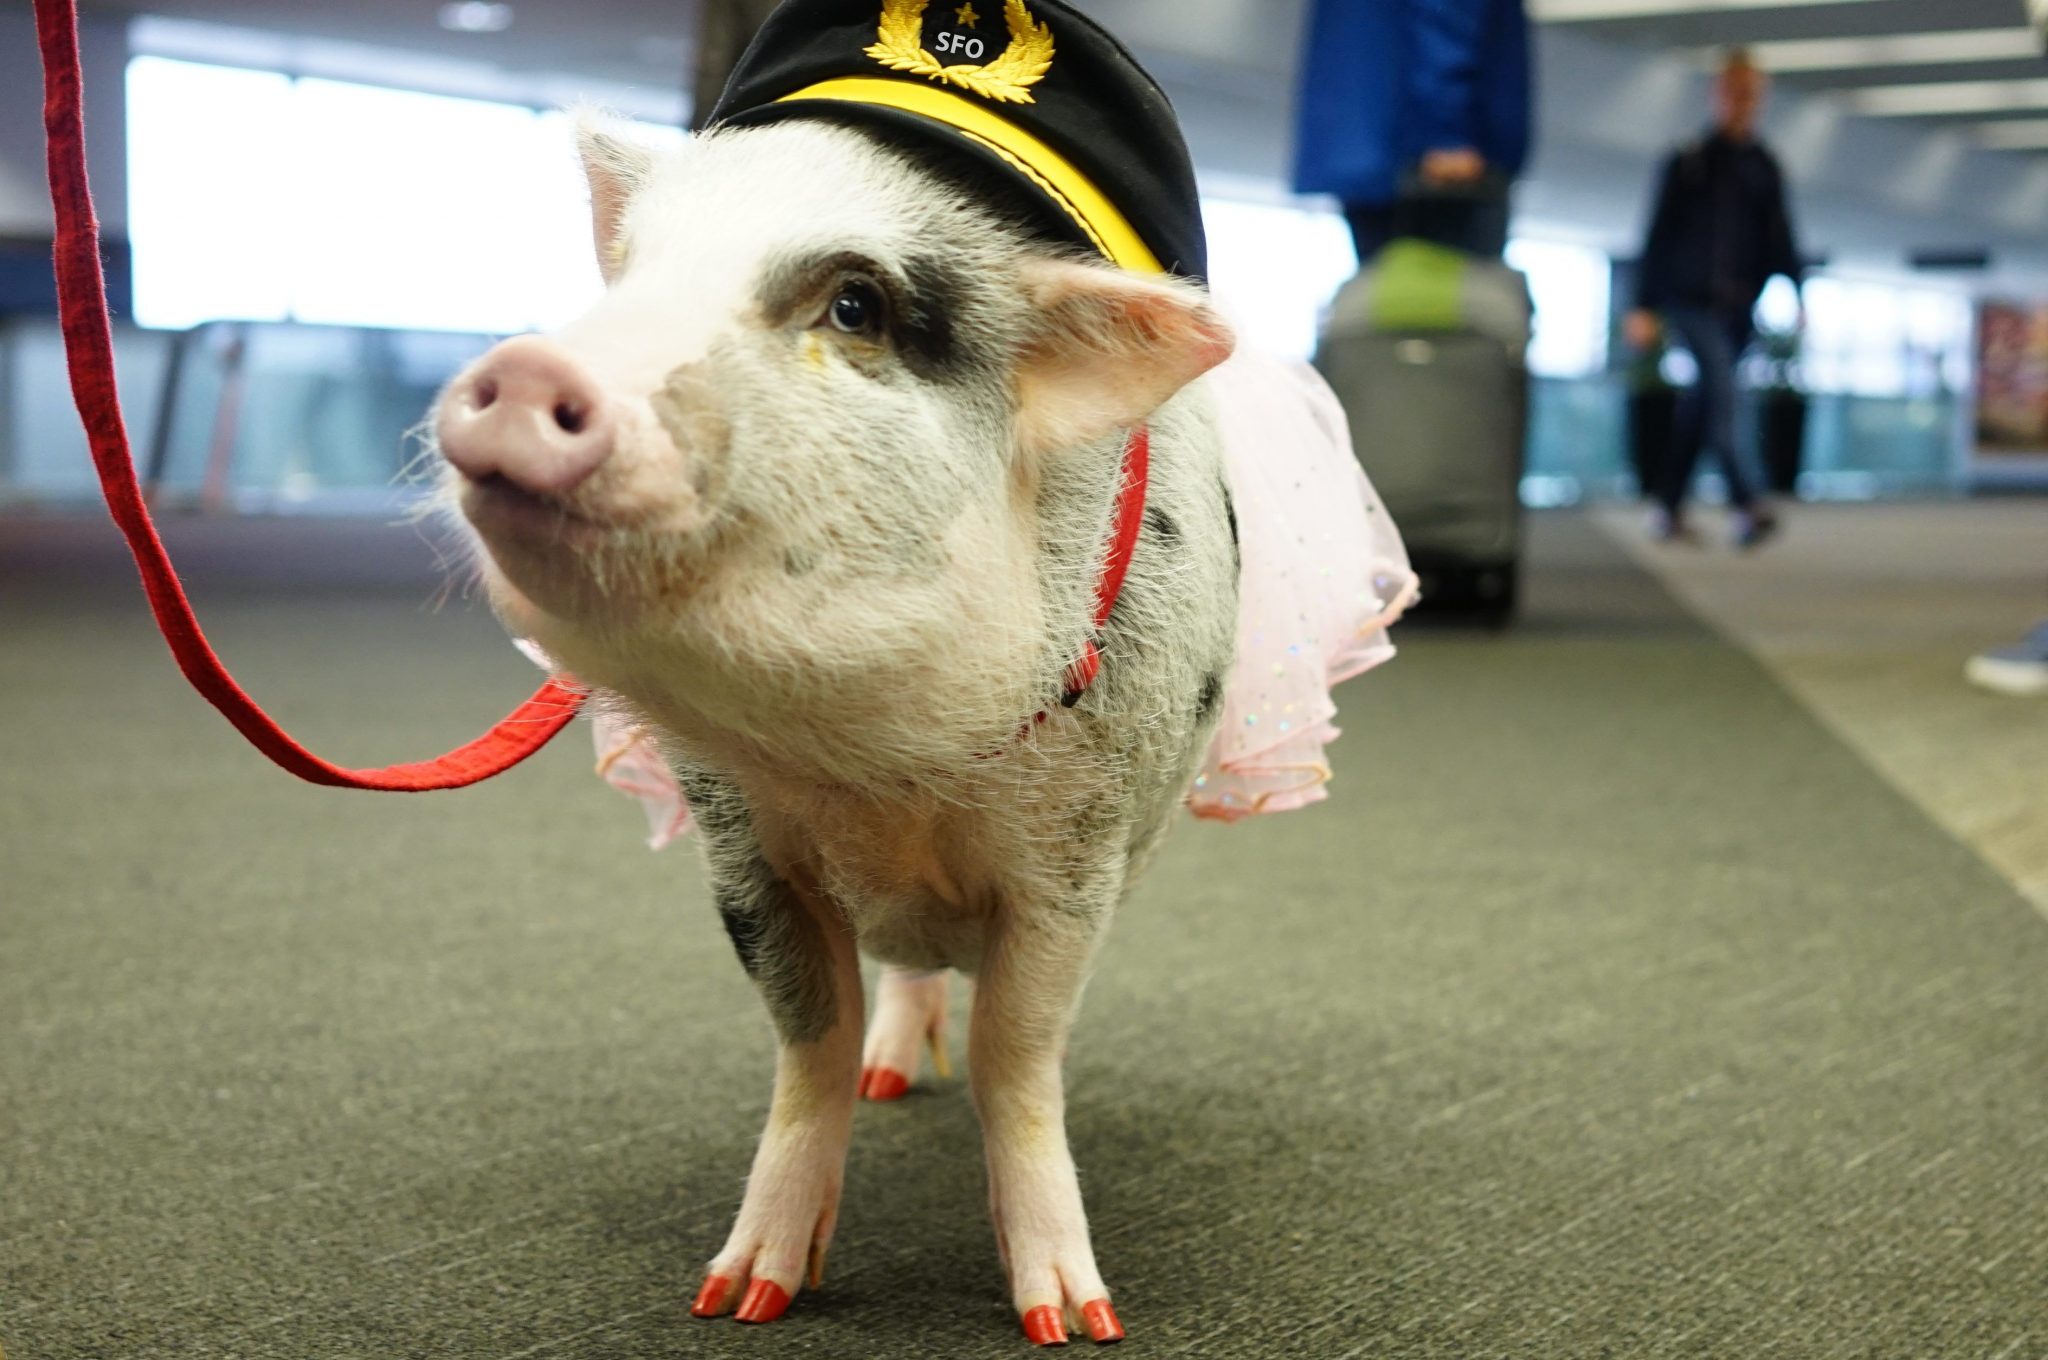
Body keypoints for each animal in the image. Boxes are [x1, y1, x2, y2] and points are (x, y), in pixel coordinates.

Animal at [425, 0, 1417, 1351]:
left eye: (855, 305)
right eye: (627, 274)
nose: (529, 373)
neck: (879, 766)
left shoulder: (1074, 859)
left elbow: (1016, 1056)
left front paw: (1072, 1318)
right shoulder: (740, 849)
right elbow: (807, 1042)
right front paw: (743, 1295)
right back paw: (895, 1077)